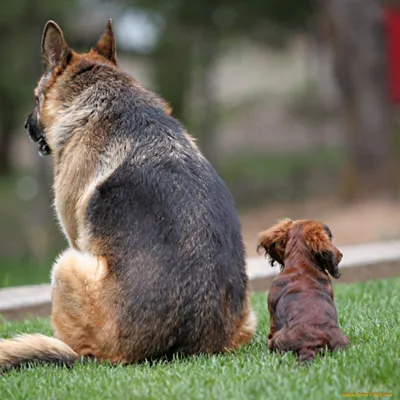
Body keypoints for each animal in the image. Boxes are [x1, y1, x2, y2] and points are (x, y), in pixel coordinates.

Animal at [0, 18, 256, 368]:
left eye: (36, 97)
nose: (26, 126)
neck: (101, 97)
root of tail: (175, 349)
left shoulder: (75, 238)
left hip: (65, 266)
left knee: (77, 347)